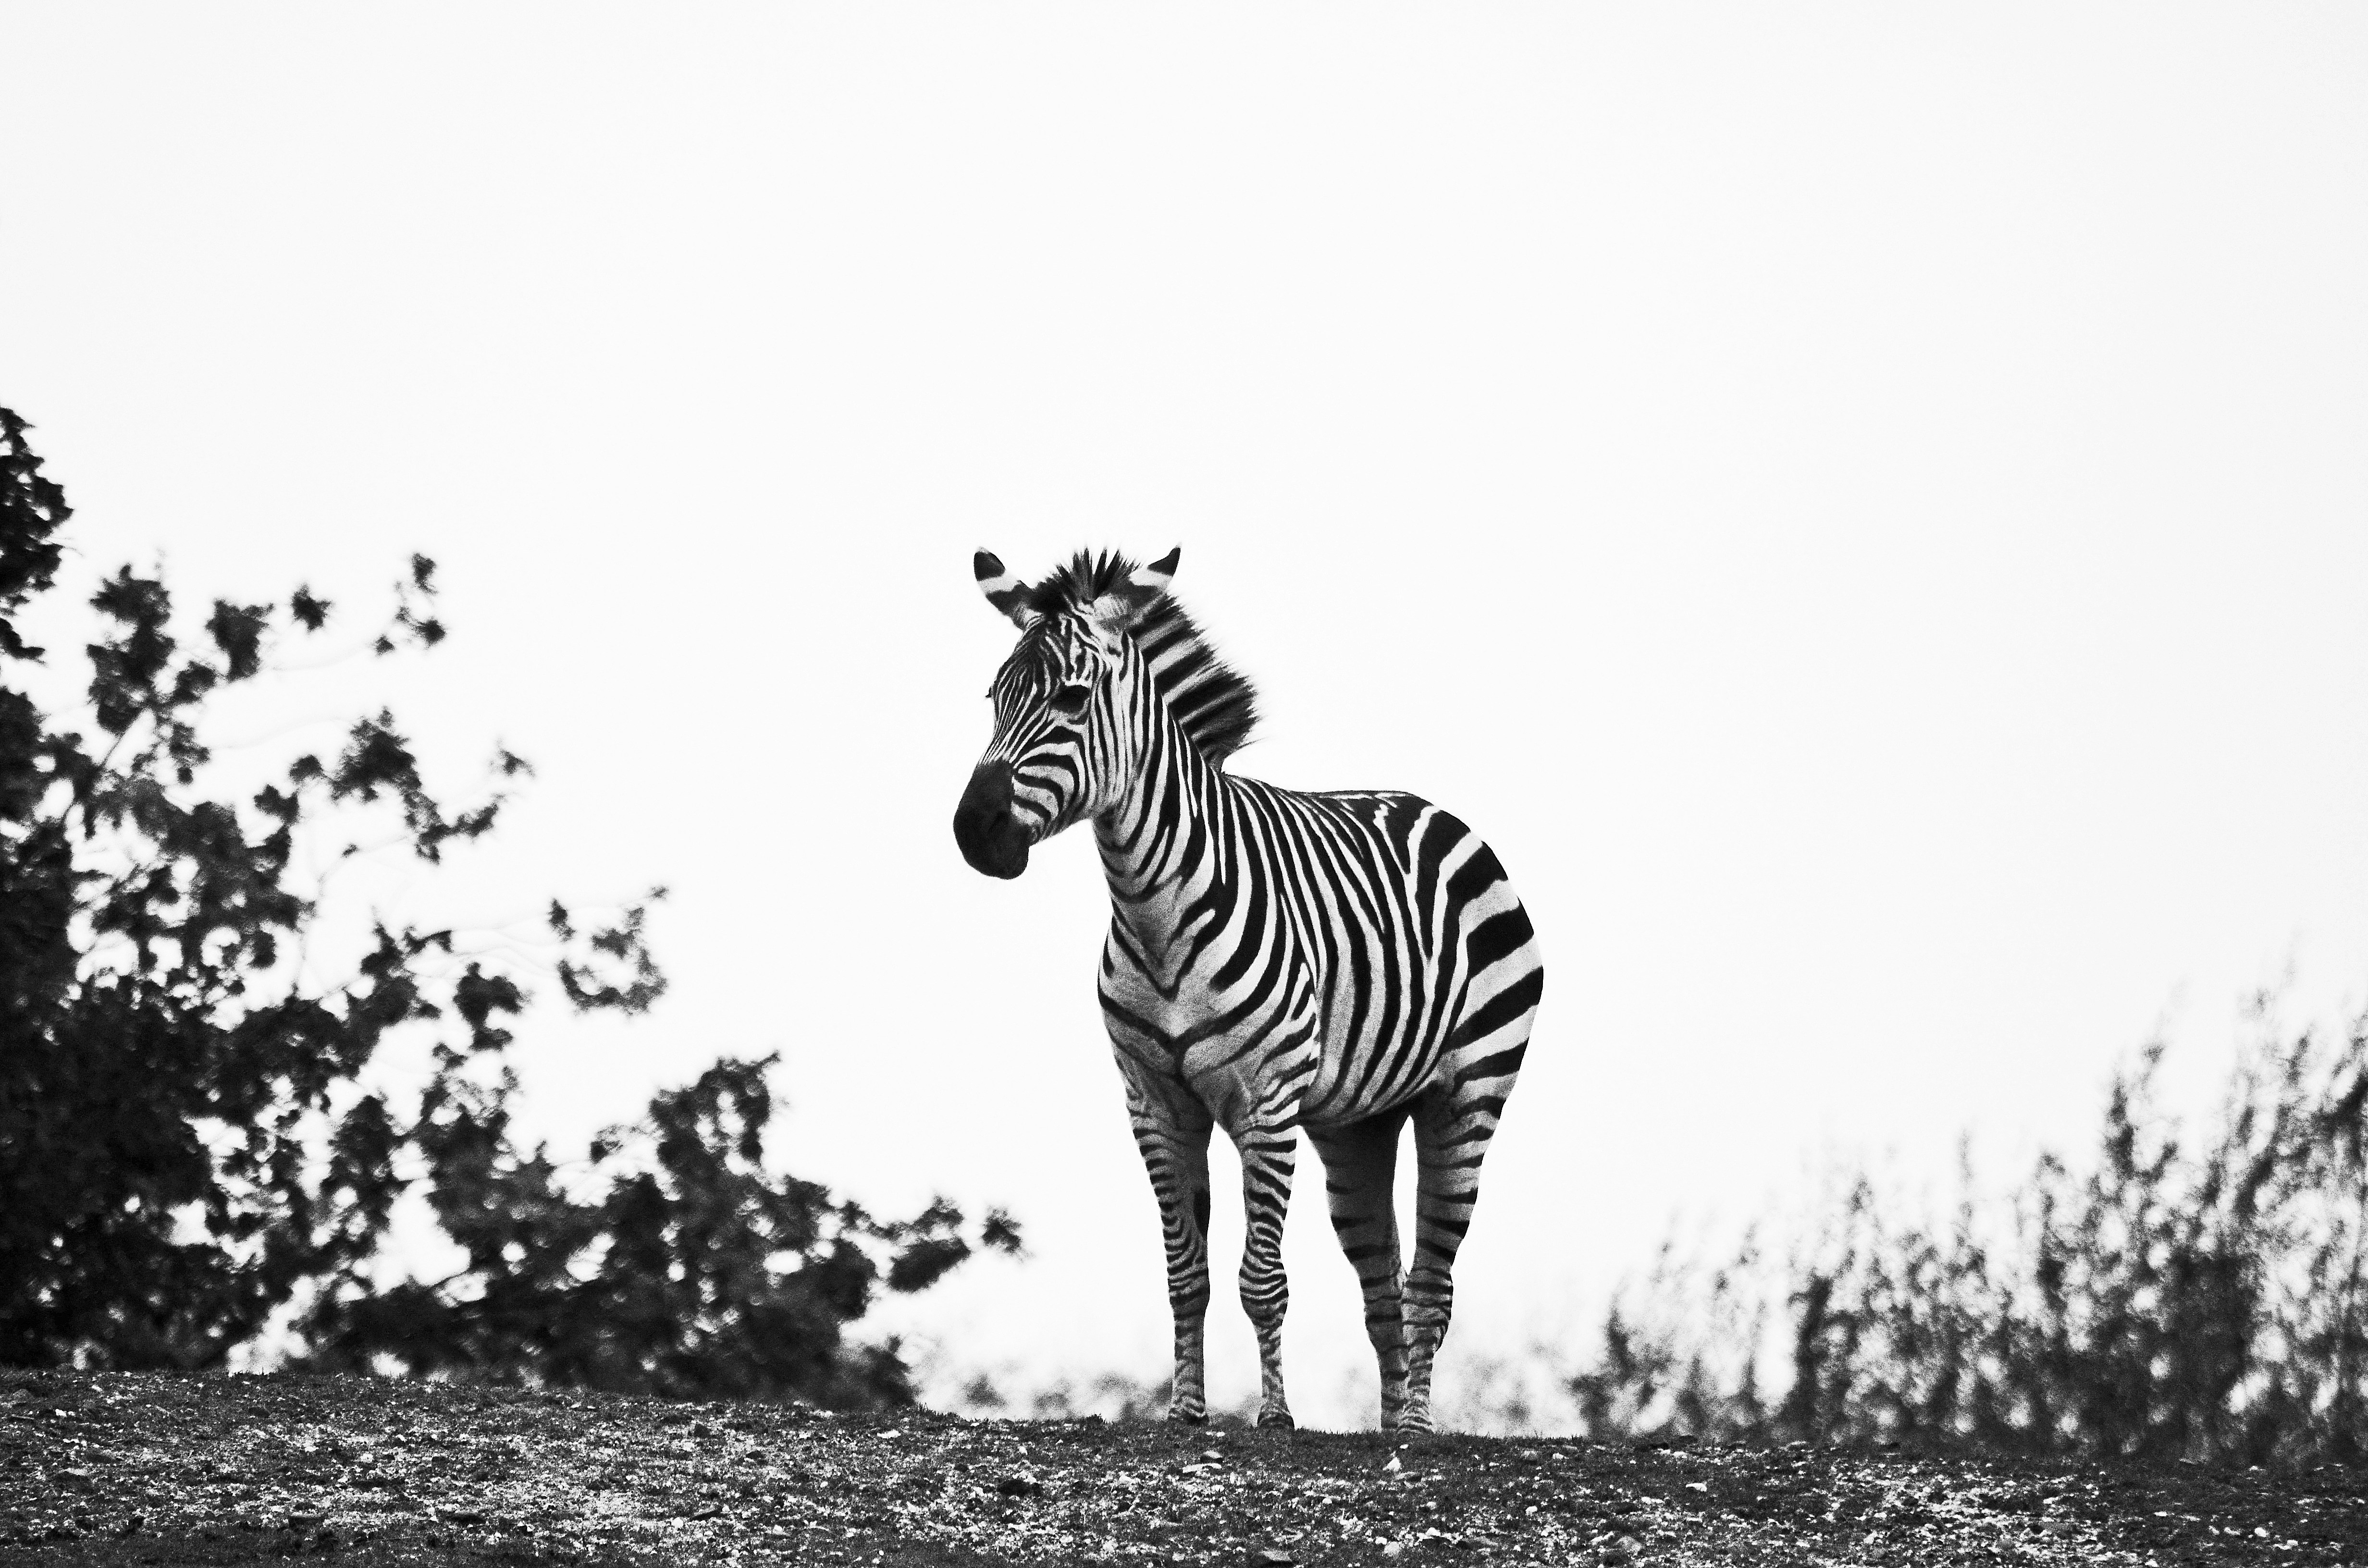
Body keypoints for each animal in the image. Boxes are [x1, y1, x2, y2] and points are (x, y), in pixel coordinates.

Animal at [952, 547, 1543, 1432]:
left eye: (1071, 698)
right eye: (996, 697)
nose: (972, 832)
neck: (1154, 912)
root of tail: (1427, 807)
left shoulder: (1265, 1102)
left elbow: (1261, 1280)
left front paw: (1274, 1417)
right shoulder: (1154, 1103)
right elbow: (1185, 1274)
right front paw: (1186, 1410)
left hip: (1468, 1093)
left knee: (1431, 1283)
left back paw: (1414, 1429)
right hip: (1357, 1124)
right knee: (1384, 1286)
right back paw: (1384, 1425)